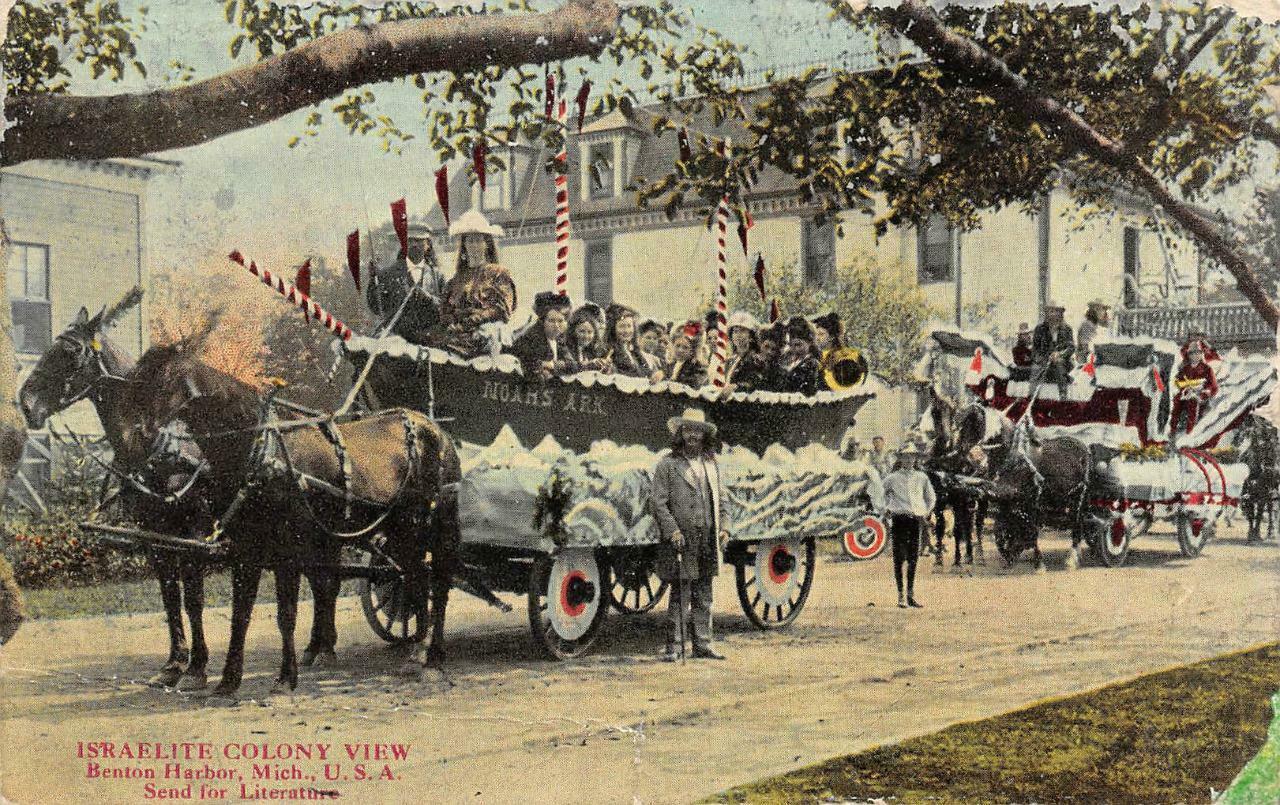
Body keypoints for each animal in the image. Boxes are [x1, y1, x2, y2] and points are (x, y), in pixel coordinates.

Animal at [128, 342, 460, 696]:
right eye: (138, 386)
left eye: (165, 384)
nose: (143, 436)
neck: (259, 450)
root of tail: (435, 429)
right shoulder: (246, 548)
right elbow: (240, 612)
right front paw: (229, 680)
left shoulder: (287, 549)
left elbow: (286, 614)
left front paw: (286, 677)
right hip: (401, 532)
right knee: (414, 580)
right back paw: (417, 652)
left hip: (436, 525)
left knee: (438, 584)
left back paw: (433, 658)